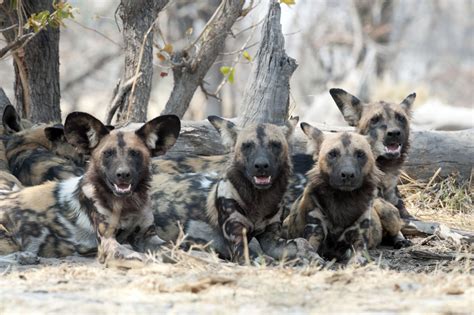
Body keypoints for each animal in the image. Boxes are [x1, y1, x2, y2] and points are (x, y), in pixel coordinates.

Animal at [0, 112, 181, 268]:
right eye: (107, 153)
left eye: (135, 153)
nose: (123, 174)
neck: (129, 203)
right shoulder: (110, 244)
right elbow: (145, 259)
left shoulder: (148, 237)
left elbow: (177, 252)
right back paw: (25, 257)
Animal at [152, 116, 322, 264]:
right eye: (247, 145)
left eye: (275, 144)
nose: (261, 165)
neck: (259, 201)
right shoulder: (241, 246)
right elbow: (265, 259)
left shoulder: (271, 239)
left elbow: (301, 242)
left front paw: (314, 258)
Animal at [284, 123, 406, 264]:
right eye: (332, 154)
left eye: (360, 154)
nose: (347, 174)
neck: (343, 200)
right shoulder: (315, 232)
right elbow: (308, 246)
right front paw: (314, 259)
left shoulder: (359, 240)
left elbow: (359, 256)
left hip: (385, 211)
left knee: (397, 229)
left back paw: (401, 241)